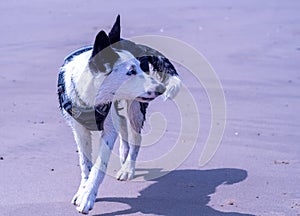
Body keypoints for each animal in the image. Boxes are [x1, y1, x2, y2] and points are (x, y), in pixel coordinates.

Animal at [57, 15, 182, 214]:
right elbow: (85, 164)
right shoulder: (79, 130)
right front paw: (83, 191)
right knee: (122, 123)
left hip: (135, 109)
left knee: (135, 137)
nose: (161, 89)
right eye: (130, 71)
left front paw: (88, 197)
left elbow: (99, 166)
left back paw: (128, 168)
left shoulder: (108, 131)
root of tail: (132, 42)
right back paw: (124, 153)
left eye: (139, 67)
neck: (92, 98)